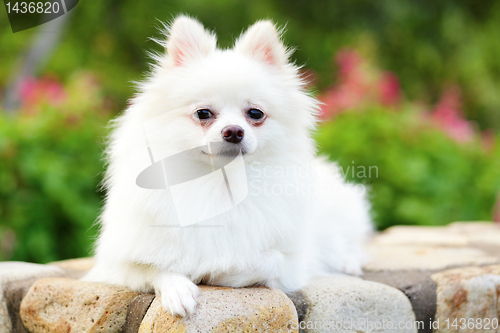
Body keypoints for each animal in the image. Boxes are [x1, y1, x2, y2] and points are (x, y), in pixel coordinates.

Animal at [83, 15, 372, 316]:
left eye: (255, 113)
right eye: (203, 113)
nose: (233, 131)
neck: (220, 183)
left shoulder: (291, 263)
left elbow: (258, 261)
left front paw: (215, 271)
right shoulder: (117, 264)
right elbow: (154, 267)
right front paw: (178, 288)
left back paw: (349, 262)